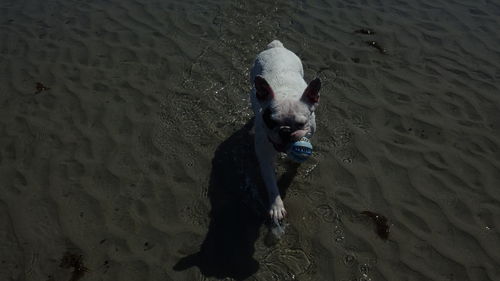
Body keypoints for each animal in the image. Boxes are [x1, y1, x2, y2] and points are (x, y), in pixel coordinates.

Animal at [249, 40, 320, 221]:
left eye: (302, 123)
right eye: (270, 121)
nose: (286, 131)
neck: (286, 93)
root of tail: (277, 47)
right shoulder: (265, 156)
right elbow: (271, 184)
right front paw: (276, 206)